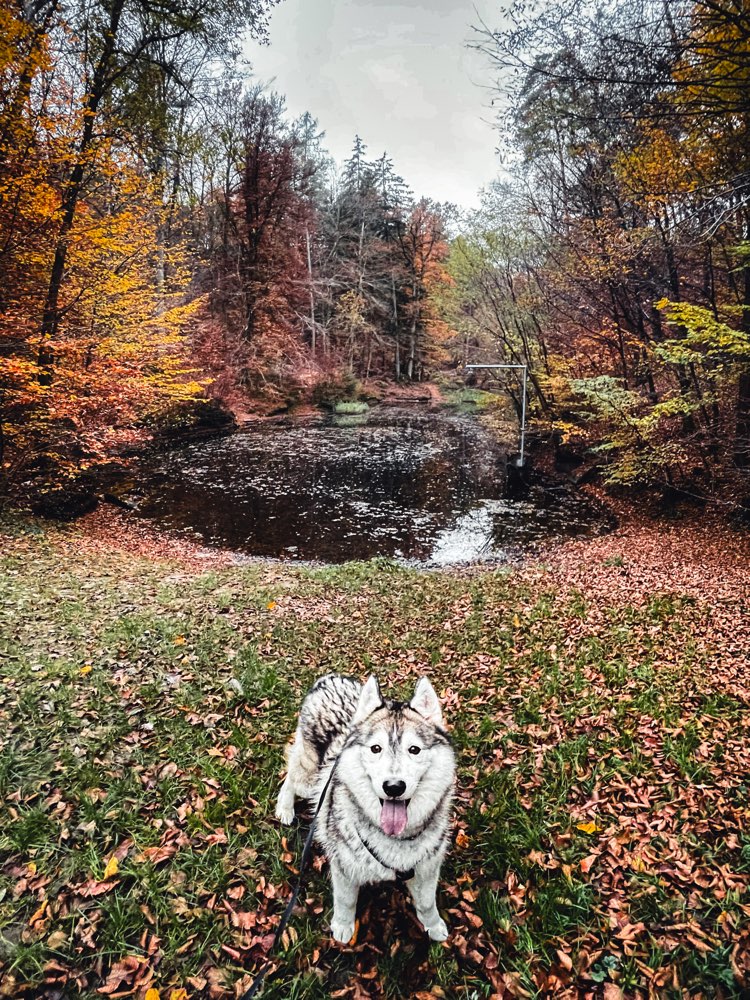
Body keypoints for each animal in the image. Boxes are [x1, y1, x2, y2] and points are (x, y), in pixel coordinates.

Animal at [274, 676, 456, 940]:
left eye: (414, 750)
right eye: (375, 748)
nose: (393, 787)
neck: (395, 840)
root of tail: (329, 678)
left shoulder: (427, 869)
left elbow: (426, 903)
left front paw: (433, 925)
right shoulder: (344, 867)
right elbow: (346, 900)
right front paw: (343, 926)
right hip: (308, 780)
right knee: (290, 776)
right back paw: (285, 808)